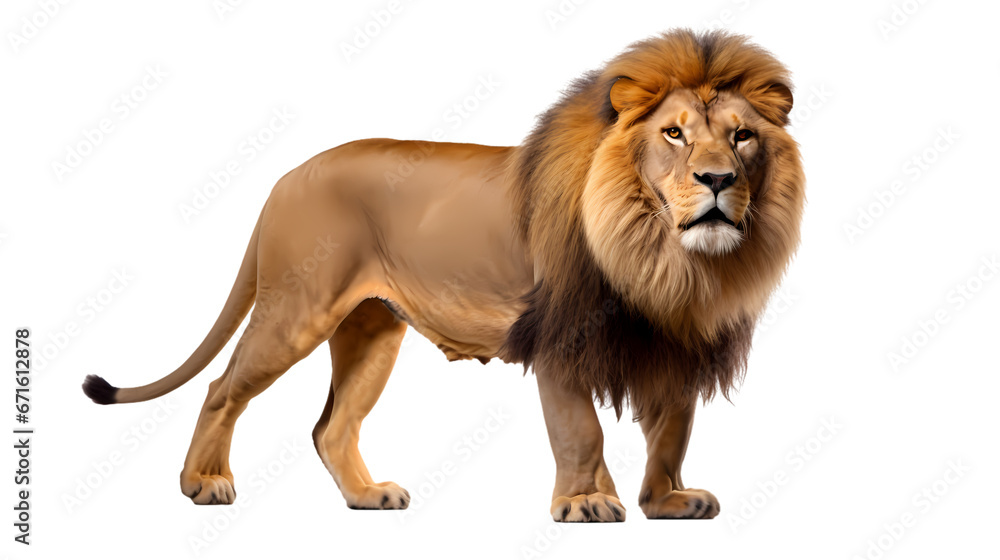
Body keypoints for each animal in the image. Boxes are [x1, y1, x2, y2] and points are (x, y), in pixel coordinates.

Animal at [83, 29, 803, 522]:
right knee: (221, 387)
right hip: (297, 309)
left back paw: (367, 495)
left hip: (371, 331)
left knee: (330, 427)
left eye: (741, 136)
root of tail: (287, 178)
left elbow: (673, 431)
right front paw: (586, 503)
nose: (718, 180)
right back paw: (203, 482)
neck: (664, 259)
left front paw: (668, 500)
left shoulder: (678, 342)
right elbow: (581, 431)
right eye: (674, 134)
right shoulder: (558, 337)